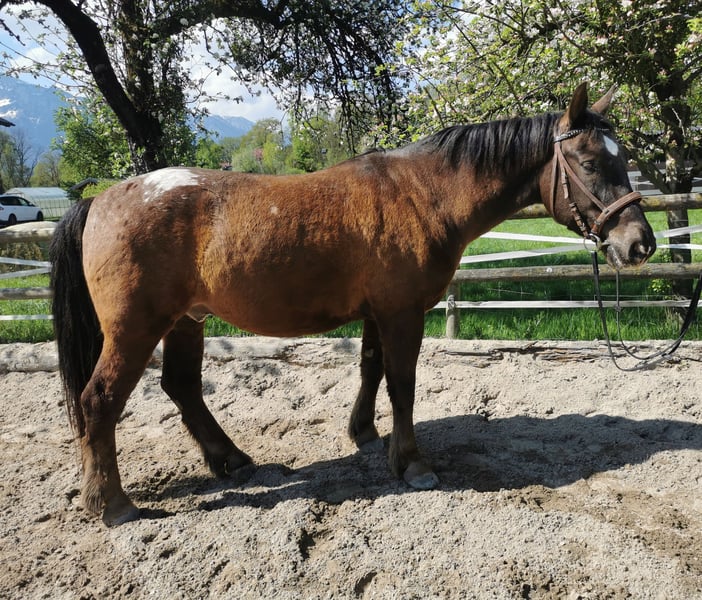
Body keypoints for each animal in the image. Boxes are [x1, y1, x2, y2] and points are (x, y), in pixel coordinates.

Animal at [50, 83, 655, 526]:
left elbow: (370, 369)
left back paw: (231, 460)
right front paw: (412, 464)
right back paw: (113, 505)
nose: (640, 244)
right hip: (135, 329)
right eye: (590, 163)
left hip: (184, 322)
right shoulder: (403, 314)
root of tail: (100, 200)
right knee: (99, 400)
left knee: (182, 388)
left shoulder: (377, 314)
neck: (423, 193)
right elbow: (403, 384)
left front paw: (364, 433)